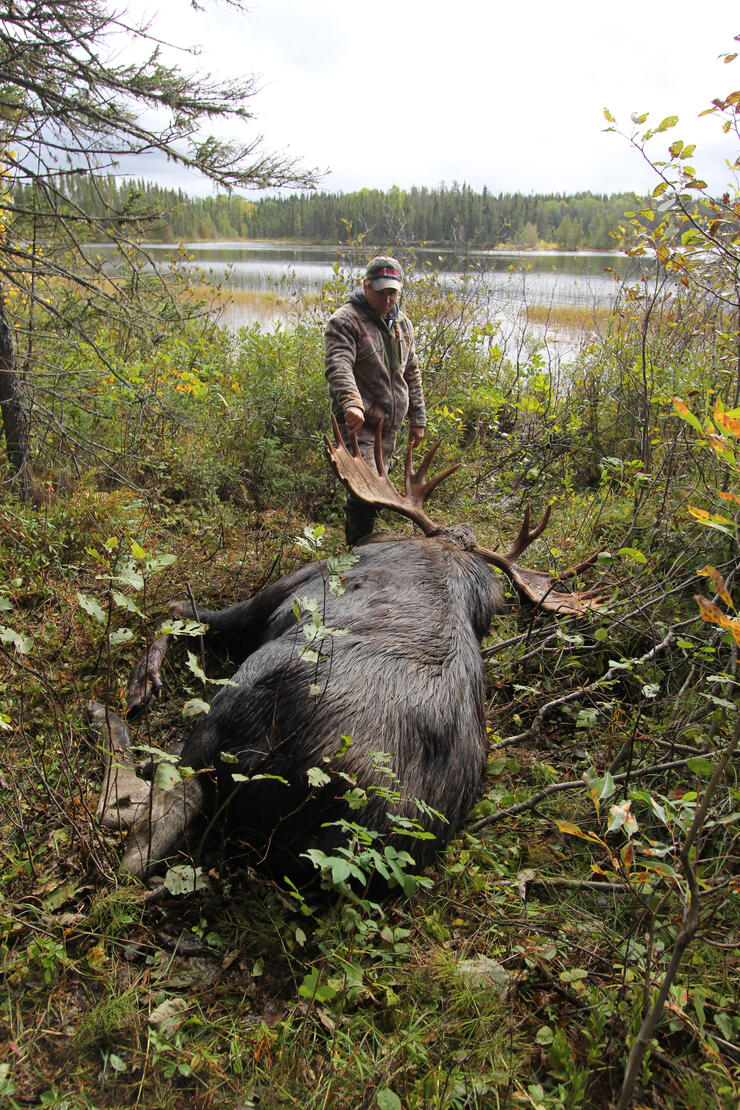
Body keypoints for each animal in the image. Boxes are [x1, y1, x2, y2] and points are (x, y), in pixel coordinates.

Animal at [89, 419, 603, 896]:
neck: (449, 559)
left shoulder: (283, 589)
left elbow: (177, 609)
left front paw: (144, 679)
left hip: (231, 708)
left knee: (148, 816)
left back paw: (110, 714)